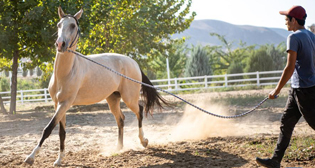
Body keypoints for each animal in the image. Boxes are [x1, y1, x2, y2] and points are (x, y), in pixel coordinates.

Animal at [24, 6, 170, 167]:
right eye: (58, 24)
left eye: (73, 25)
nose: (60, 44)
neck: (66, 73)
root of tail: (134, 63)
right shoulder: (58, 104)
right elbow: (61, 132)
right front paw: (59, 160)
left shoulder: (65, 104)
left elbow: (48, 129)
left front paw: (30, 157)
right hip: (113, 99)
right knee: (121, 119)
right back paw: (118, 147)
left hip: (129, 98)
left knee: (140, 111)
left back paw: (143, 141)